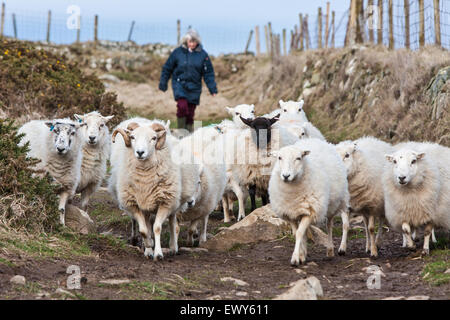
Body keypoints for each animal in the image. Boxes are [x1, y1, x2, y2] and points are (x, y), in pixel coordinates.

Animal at [108, 117, 180, 260]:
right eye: (132, 137)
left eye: (153, 138)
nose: (140, 152)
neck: (145, 180)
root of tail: (139, 118)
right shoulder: (134, 204)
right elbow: (143, 230)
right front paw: (148, 246)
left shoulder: (165, 202)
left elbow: (157, 227)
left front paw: (158, 253)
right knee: (145, 224)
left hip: (171, 200)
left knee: (172, 220)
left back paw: (173, 246)